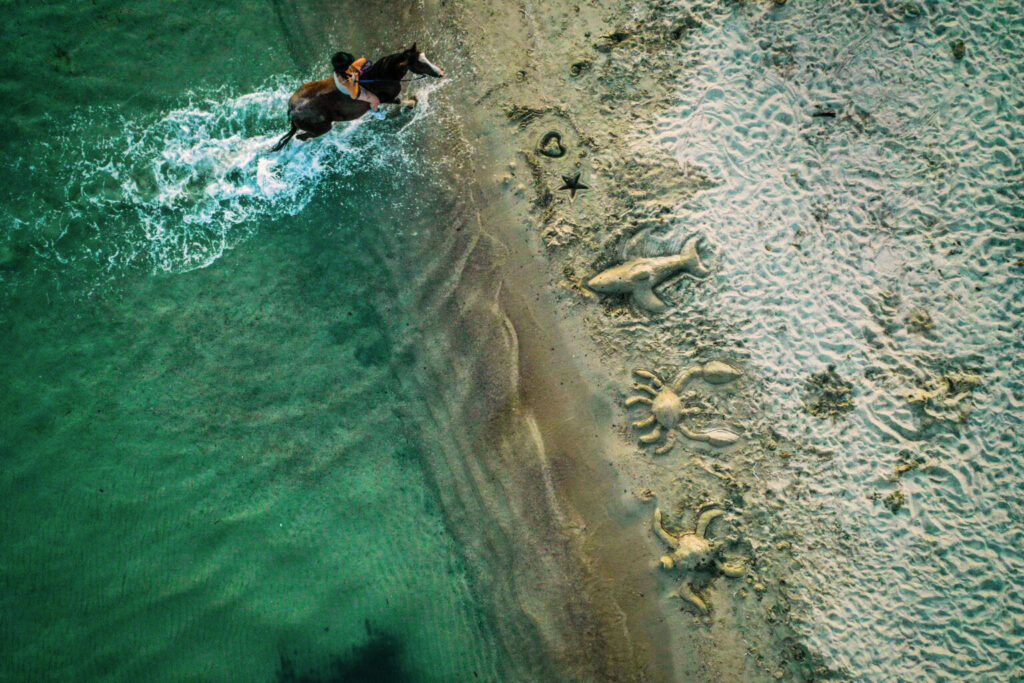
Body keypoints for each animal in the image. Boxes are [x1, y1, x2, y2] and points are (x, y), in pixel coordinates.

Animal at [270, 44, 444, 152]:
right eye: (419, 64)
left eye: (425, 56)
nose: (441, 72)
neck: (381, 75)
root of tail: (292, 110)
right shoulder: (384, 98)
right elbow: (400, 101)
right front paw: (413, 103)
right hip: (322, 127)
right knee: (303, 136)